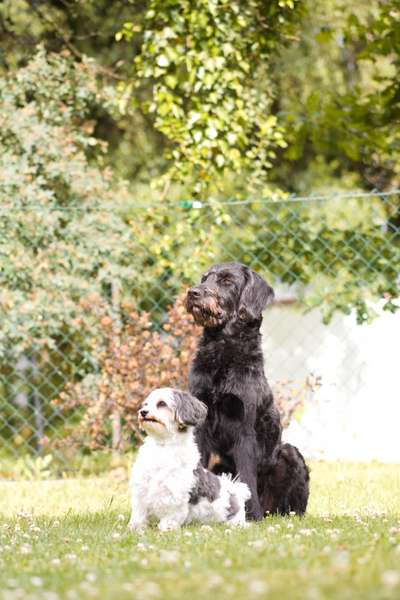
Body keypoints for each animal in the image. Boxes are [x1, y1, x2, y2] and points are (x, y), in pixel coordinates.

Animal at [129, 386, 250, 532]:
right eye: (146, 404)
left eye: (161, 404)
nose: (143, 412)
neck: (163, 446)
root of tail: (235, 492)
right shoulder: (141, 487)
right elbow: (139, 512)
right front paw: (135, 528)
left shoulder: (175, 493)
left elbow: (172, 514)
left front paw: (166, 528)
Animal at [184, 262, 310, 520]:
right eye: (204, 278)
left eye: (227, 281)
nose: (193, 293)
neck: (223, 350)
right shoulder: (200, 424)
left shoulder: (244, 427)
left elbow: (246, 477)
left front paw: (250, 515)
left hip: (289, 454)